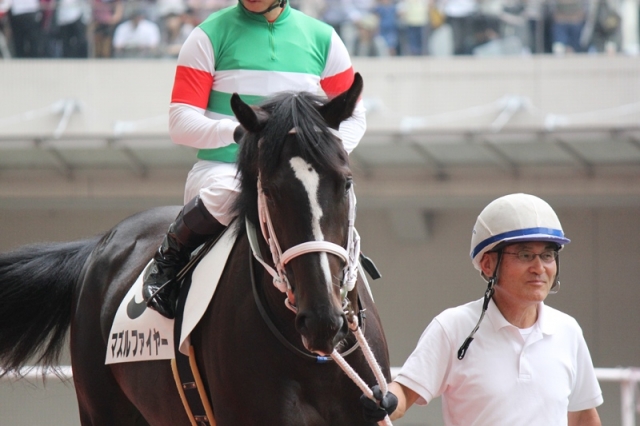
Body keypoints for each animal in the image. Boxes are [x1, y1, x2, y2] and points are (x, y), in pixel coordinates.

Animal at [0, 73, 391, 425]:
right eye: (270, 191)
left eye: (346, 182)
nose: (322, 321)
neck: (311, 360)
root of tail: (100, 244)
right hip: (101, 408)